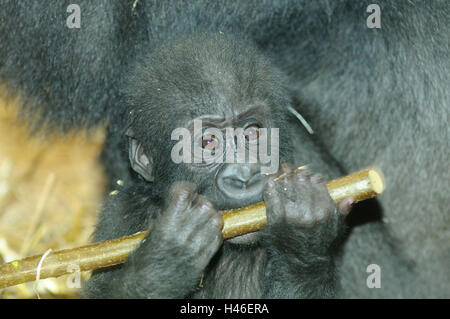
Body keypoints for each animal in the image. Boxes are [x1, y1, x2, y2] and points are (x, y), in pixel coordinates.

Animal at [85, 33, 352, 298]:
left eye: (252, 132)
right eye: (208, 141)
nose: (245, 175)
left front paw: (301, 234)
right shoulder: (119, 214)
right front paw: (163, 262)